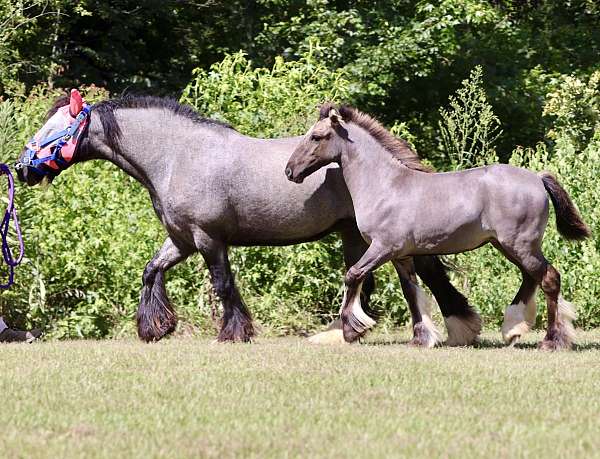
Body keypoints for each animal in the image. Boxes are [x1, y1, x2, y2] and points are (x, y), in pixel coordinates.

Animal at [16, 90, 480, 344]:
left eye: (52, 130)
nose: (21, 169)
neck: (177, 155)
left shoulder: (207, 239)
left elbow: (223, 285)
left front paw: (233, 332)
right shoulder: (181, 239)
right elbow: (150, 271)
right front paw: (155, 327)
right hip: (353, 234)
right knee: (368, 279)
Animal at [286, 103, 592, 348]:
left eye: (316, 136)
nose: (290, 171)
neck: (386, 184)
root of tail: (537, 178)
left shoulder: (382, 248)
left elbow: (353, 275)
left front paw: (352, 329)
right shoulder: (402, 256)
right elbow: (411, 293)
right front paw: (421, 339)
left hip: (520, 244)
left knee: (549, 279)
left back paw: (551, 341)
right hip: (509, 245)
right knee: (531, 278)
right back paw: (513, 330)